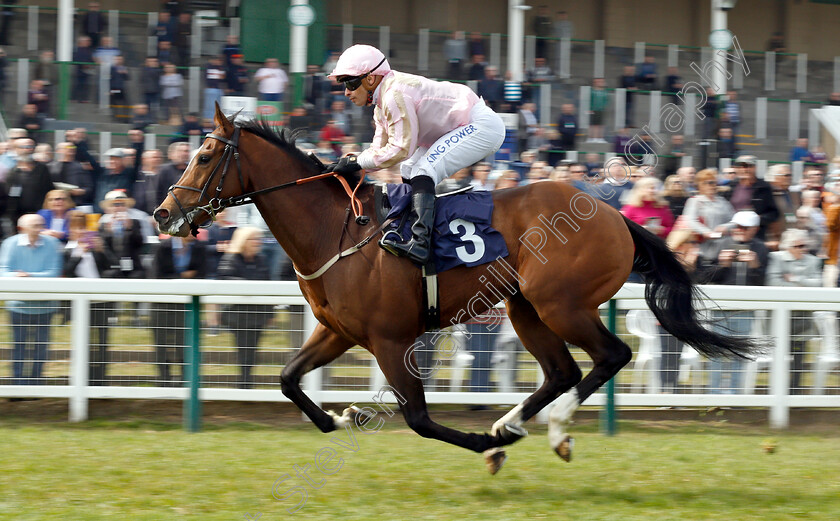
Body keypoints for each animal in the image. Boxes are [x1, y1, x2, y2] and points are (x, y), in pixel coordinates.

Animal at [154, 105, 752, 472]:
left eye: (204, 156)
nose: (162, 214)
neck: (336, 230)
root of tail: (613, 213)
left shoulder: (391, 341)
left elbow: (419, 419)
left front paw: (485, 448)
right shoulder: (338, 331)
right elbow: (287, 380)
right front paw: (342, 416)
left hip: (562, 303)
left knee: (611, 356)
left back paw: (550, 431)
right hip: (526, 307)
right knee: (562, 371)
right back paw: (512, 424)